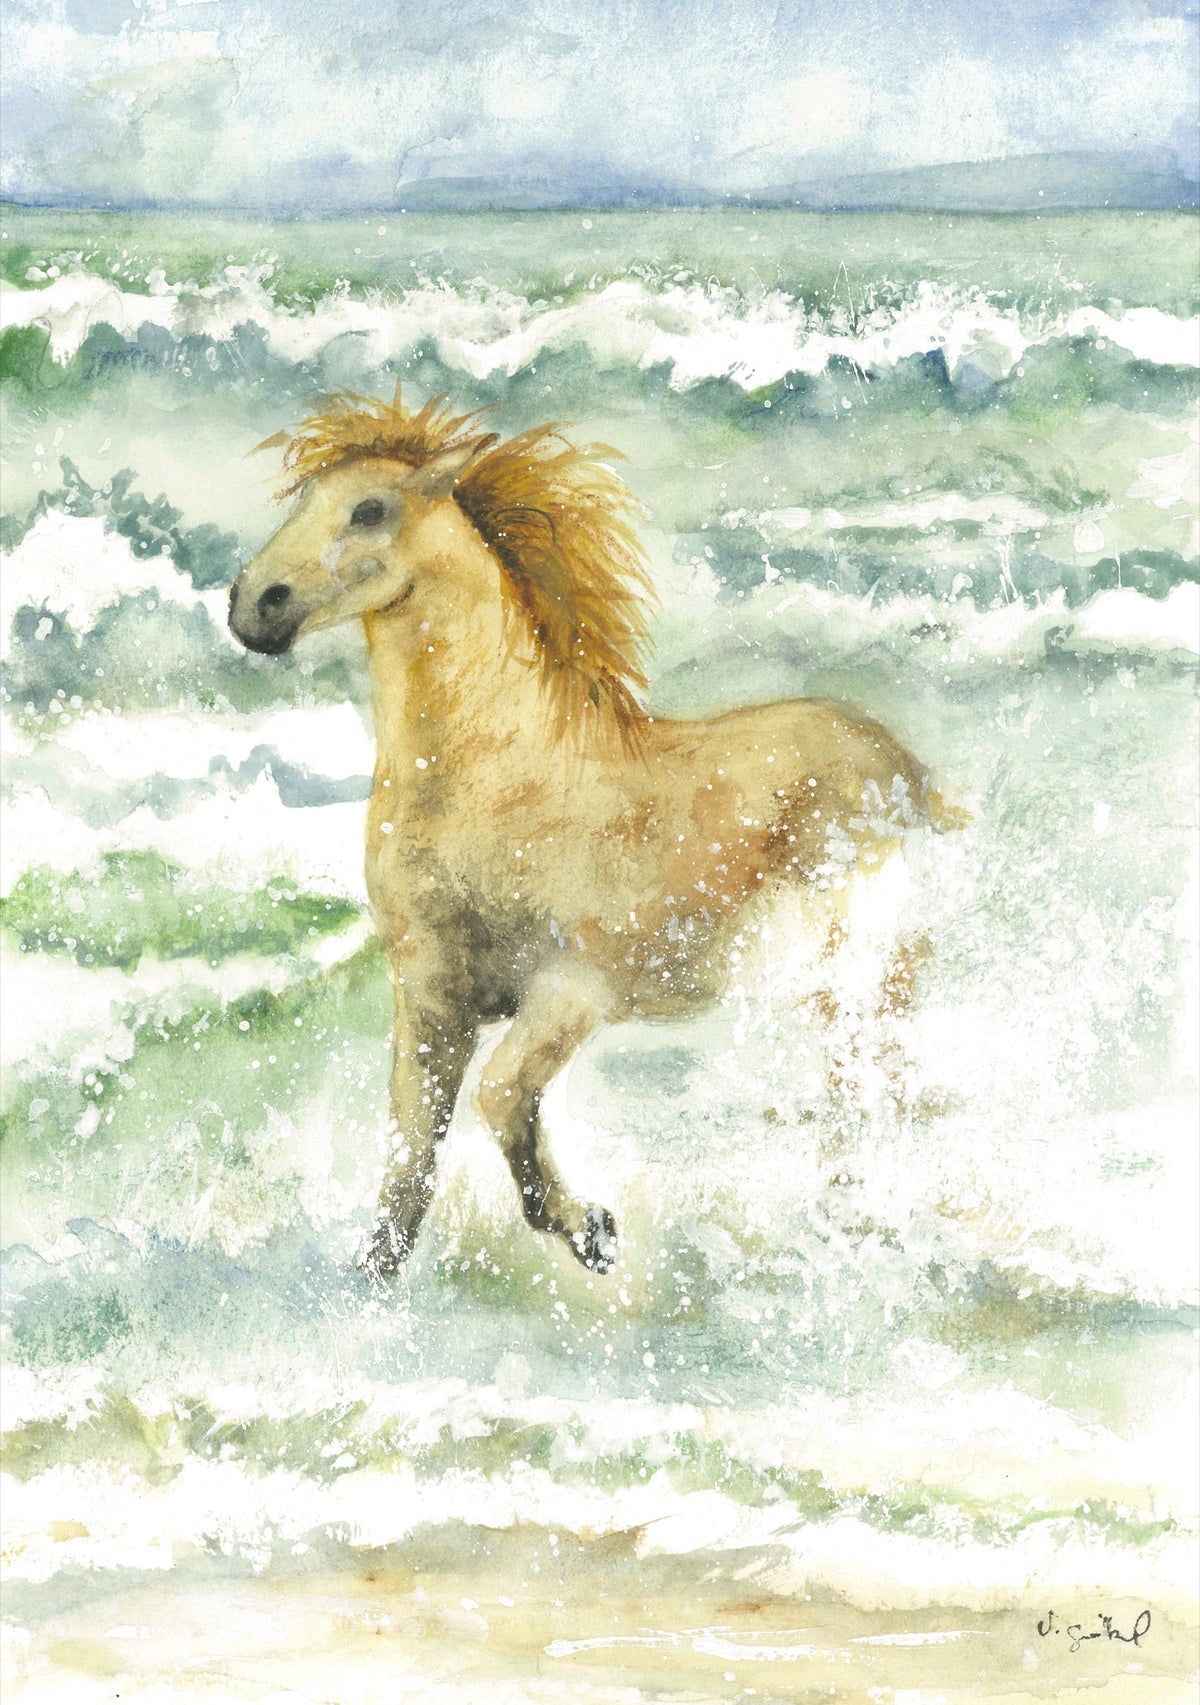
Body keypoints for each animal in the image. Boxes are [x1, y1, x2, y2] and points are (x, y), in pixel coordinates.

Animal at [228, 388, 959, 1279]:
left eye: (371, 509)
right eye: (302, 500)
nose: (252, 605)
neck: (501, 778)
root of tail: (904, 765)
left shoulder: (573, 989)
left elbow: (501, 1094)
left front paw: (592, 1231)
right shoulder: (431, 995)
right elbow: (411, 1151)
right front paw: (372, 1283)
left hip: (858, 965)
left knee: (878, 1086)